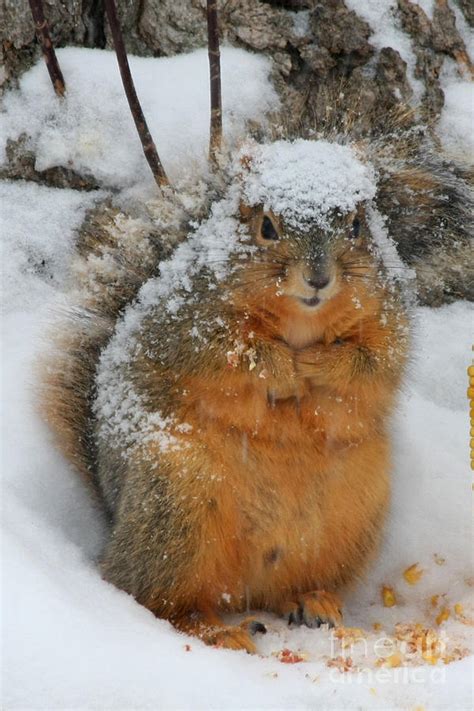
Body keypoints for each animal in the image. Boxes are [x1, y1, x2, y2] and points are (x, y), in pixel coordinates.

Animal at [39, 104, 470, 652]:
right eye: (266, 225)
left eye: (357, 225)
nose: (318, 279)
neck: (303, 321)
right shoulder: (188, 322)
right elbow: (227, 356)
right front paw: (285, 368)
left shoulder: (388, 319)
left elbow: (374, 366)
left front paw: (319, 366)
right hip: (175, 506)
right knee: (148, 594)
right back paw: (212, 629)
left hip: (353, 514)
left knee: (278, 587)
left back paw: (312, 602)